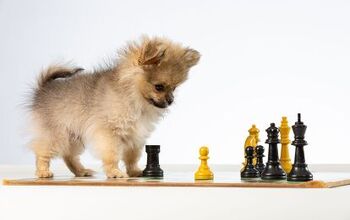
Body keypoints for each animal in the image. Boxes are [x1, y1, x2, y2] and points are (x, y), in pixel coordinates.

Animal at [29, 37, 200, 179]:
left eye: (174, 88)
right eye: (159, 87)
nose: (171, 100)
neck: (133, 96)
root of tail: (43, 89)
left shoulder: (134, 135)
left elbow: (132, 156)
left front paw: (134, 171)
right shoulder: (110, 132)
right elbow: (112, 154)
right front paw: (114, 172)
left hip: (73, 135)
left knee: (68, 155)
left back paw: (81, 171)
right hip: (57, 134)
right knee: (42, 151)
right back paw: (43, 172)